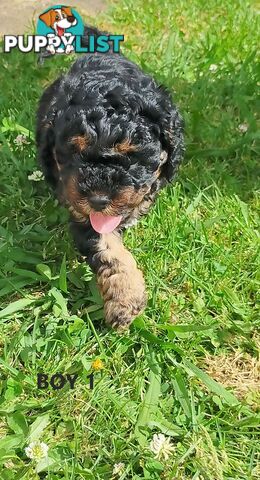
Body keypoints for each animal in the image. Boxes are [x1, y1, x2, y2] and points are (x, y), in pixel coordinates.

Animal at [35, 27, 184, 330]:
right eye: (73, 153)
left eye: (132, 155)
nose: (98, 200)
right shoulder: (82, 214)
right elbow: (108, 248)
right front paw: (125, 300)